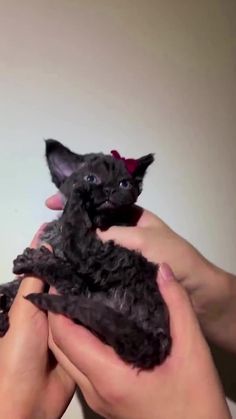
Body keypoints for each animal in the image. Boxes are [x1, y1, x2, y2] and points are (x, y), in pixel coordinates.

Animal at [0, 140, 171, 368]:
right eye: (91, 178)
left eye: (124, 184)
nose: (108, 188)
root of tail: (155, 342)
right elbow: (14, 286)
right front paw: (3, 301)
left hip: (120, 263)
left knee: (77, 260)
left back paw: (39, 258)